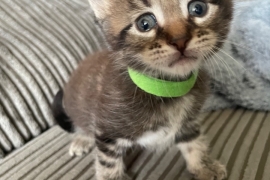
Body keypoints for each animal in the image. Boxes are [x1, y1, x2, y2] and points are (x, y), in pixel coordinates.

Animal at [52, 0, 232, 179]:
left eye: (198, 8)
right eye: (144, 24)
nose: (180, 40)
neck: (166, 89)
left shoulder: (188, 121)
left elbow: (193, 141)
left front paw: (204, 166)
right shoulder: (107, 130)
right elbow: (108, 163)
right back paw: (82, 139)